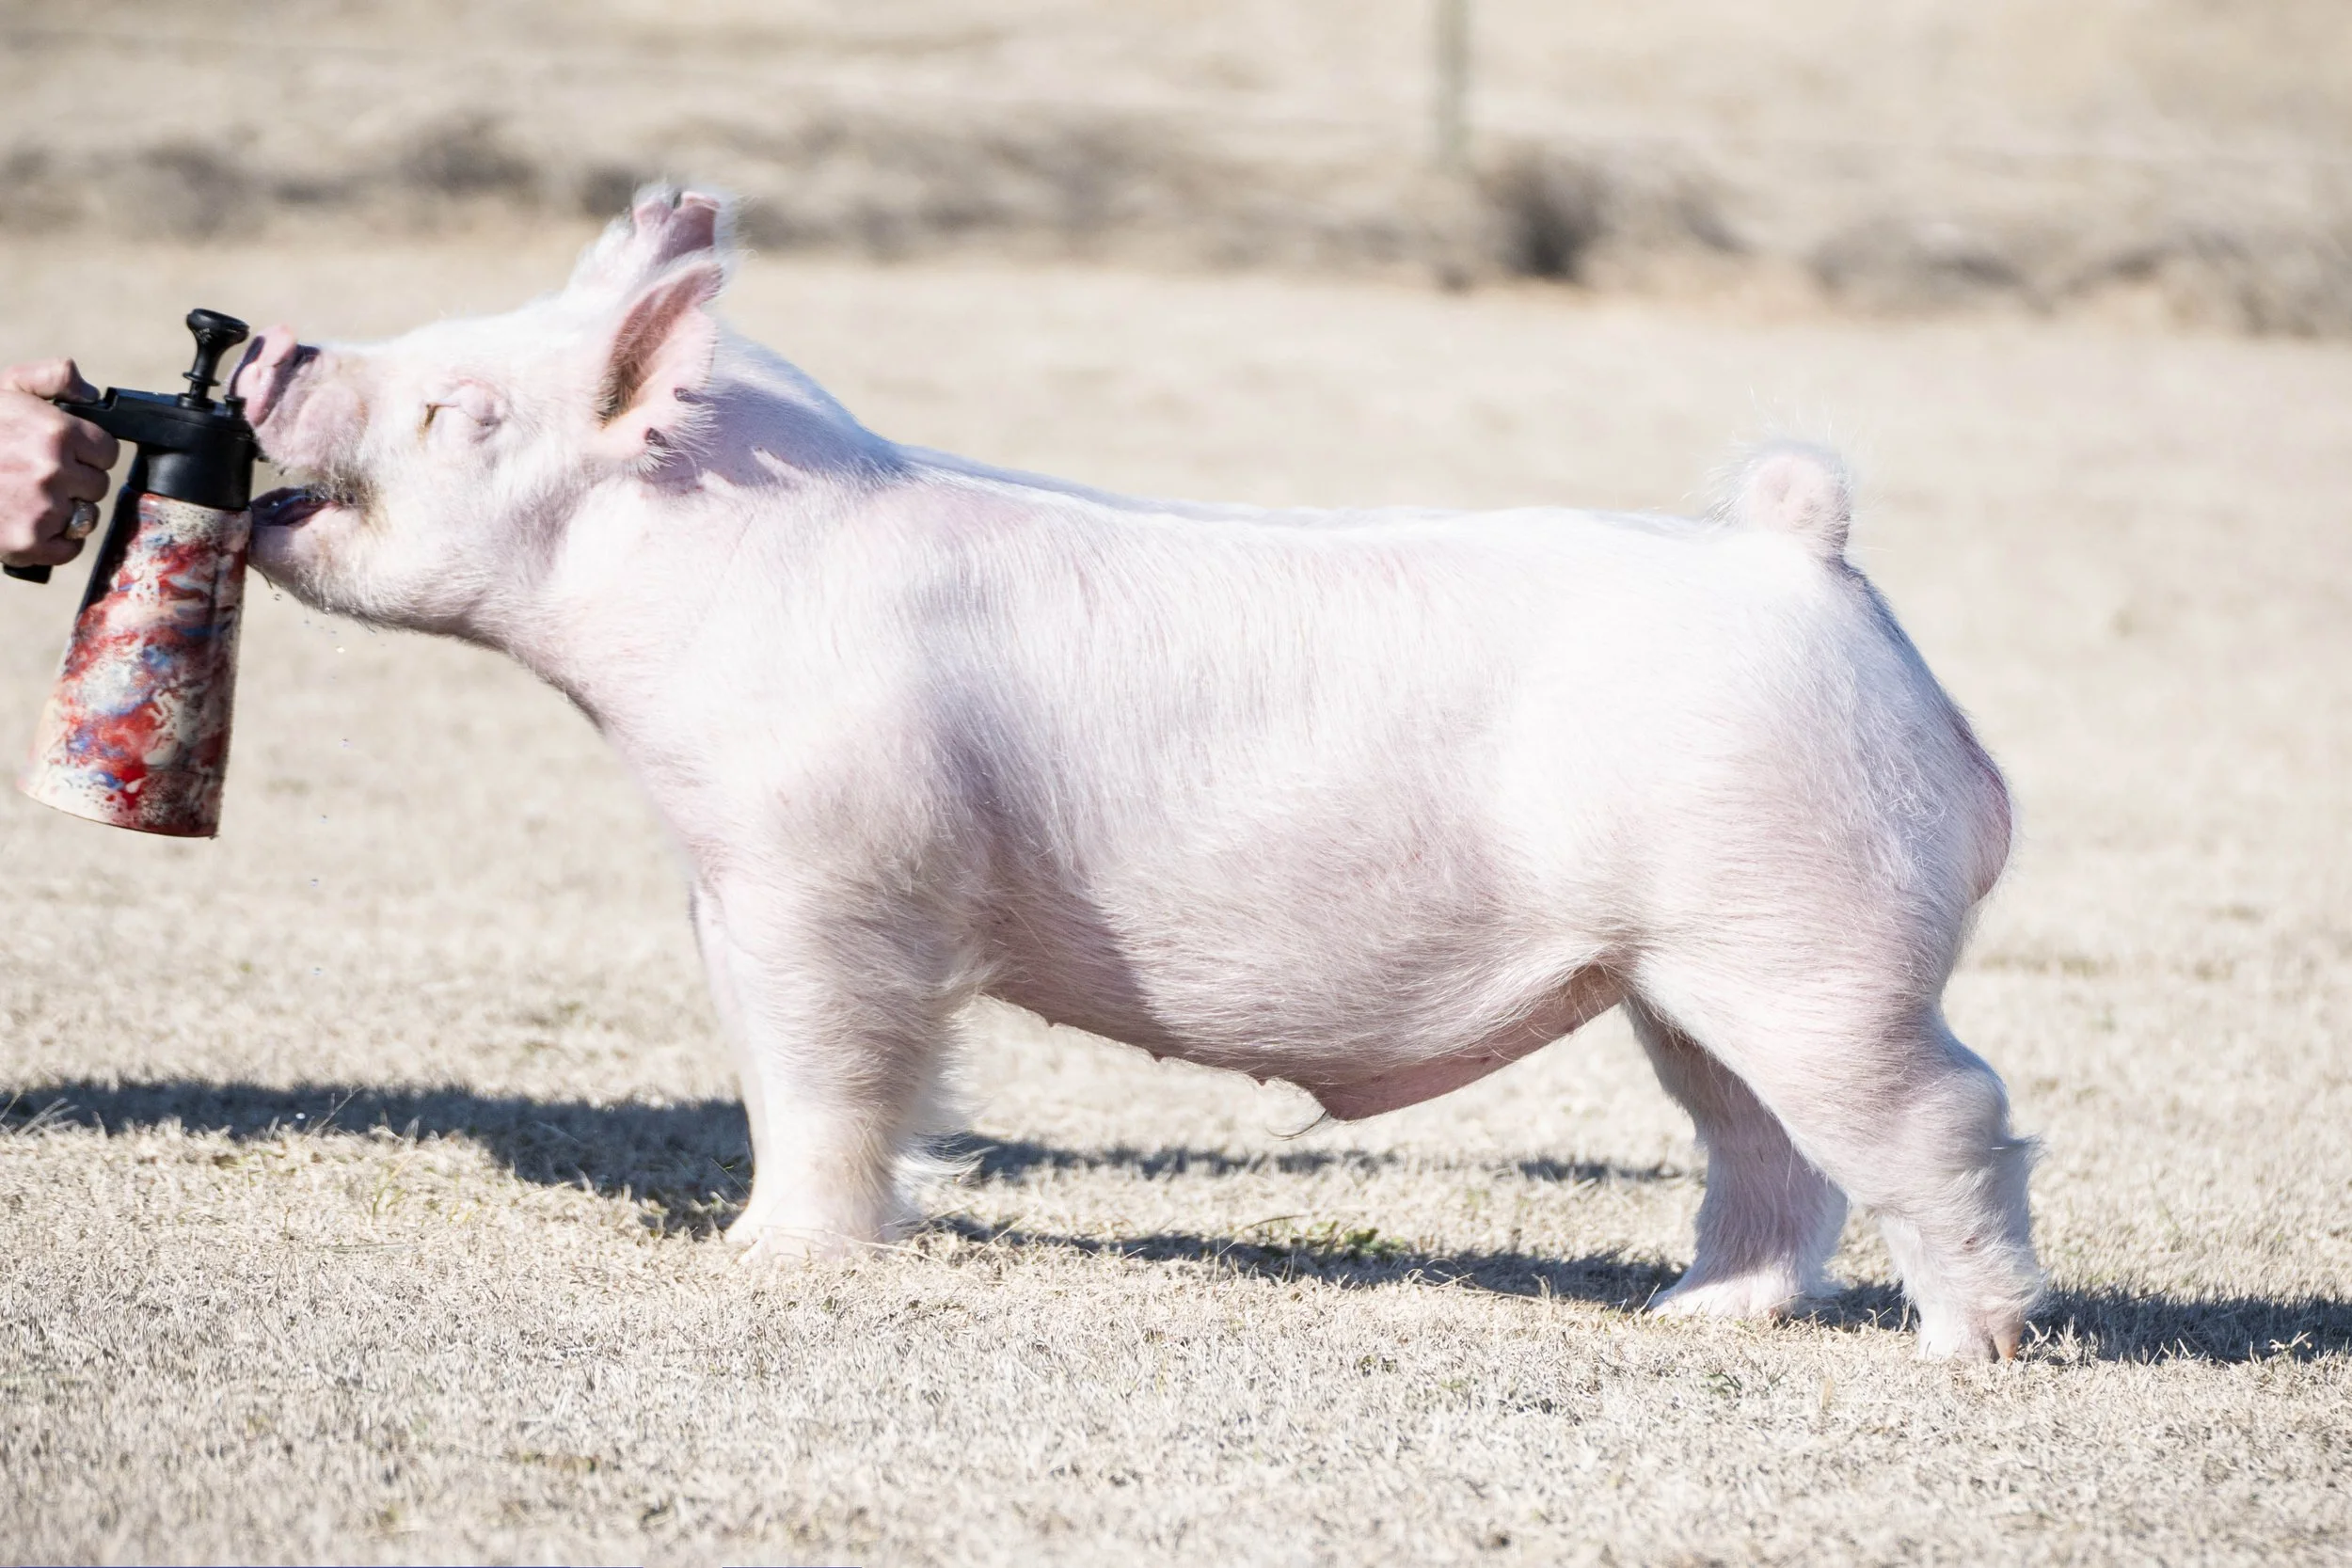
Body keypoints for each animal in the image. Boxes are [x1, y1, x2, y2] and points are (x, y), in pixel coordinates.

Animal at [231, 187, 2040, 1360]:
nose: (264, 339)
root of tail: (1801, 557)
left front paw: (768, 1255)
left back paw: (1971, 1347)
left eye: (464, 406)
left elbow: (830, 1072)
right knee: (1766, 1147)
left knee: (1945, 1107)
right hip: (1686, 971)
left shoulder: (833, 878)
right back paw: (1693, 1316)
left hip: (1809, 932)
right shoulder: (728, 885)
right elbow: (772, 1064)